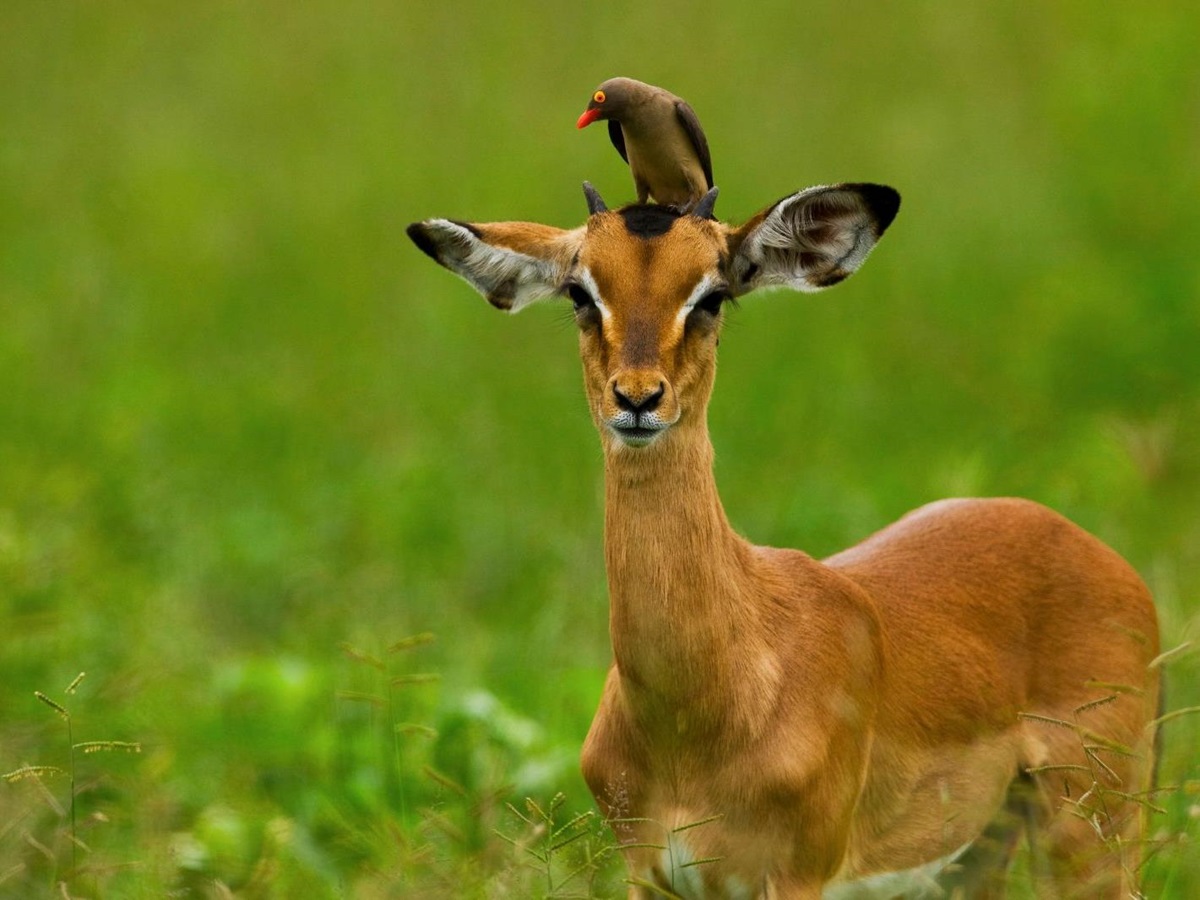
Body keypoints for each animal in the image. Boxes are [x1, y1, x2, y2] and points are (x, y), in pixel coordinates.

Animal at [407, 181, 1160, 898]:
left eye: (712, 295)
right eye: (580, 292)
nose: (638, 397)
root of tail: (1090, 547)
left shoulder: (796, 876)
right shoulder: (650, 878)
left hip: (1092, 832)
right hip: (976, 857)